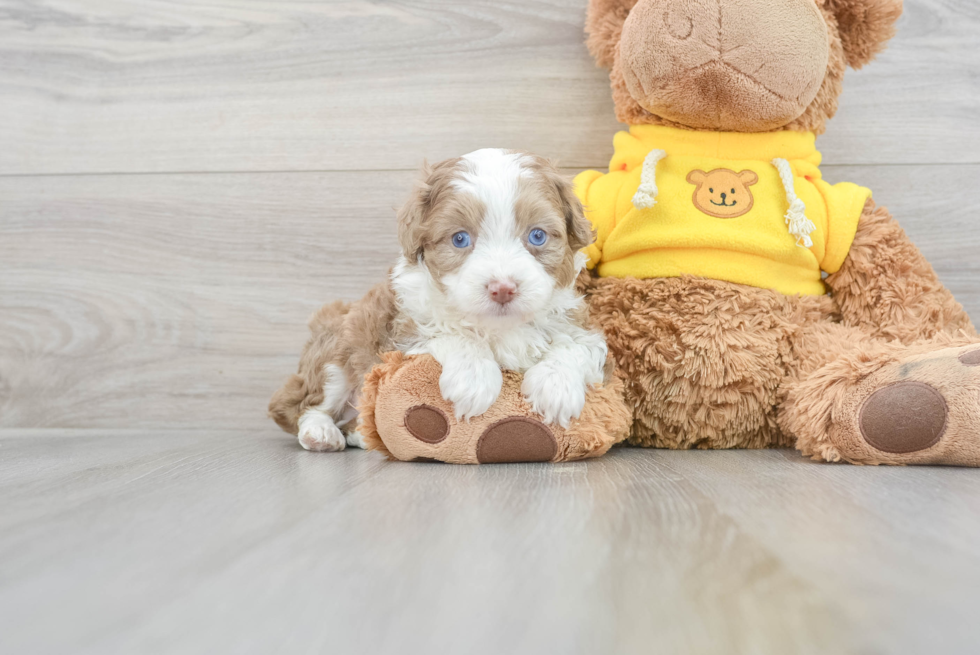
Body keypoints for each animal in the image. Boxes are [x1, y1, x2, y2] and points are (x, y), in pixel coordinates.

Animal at [268, 149, 604, 452]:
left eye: (537, 236)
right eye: (460, 239)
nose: (503, 288)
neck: (499, 326)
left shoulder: (581, 326)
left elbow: (577, 345)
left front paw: (556, 387)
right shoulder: (399, 336)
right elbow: (451, 333)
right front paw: (474, 379)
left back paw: (362, 434)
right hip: (338, 348)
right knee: (302, 404)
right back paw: (321, 433)